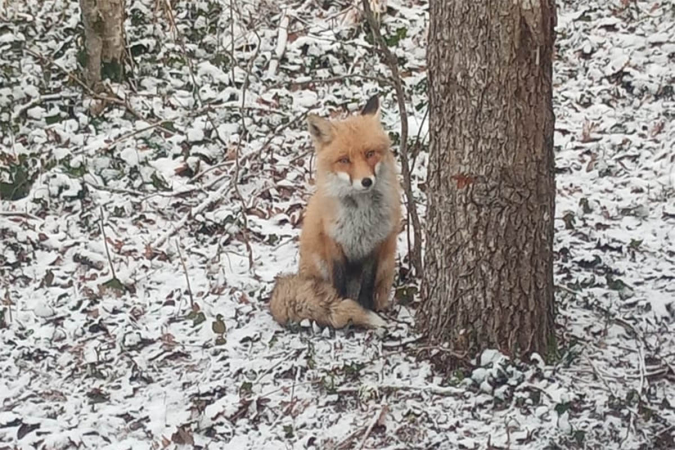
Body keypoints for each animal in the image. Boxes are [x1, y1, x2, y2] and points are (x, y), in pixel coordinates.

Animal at [270, 95, 402, 328]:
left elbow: (367, 283)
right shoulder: (333, 240)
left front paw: (364, 307)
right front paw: (343, 305)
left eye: (370, 154)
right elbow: (338, 283)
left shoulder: (376, 243)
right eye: (344, 160)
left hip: (386, 266)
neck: (360, 216)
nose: (366, 181)